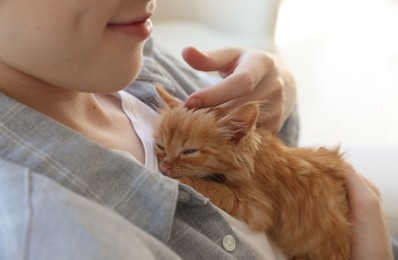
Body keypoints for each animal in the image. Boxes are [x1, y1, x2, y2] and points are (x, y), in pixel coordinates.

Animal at [152, 86, 352, 258]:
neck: (254, 159)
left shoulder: (259, 207)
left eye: (189, 151)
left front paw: (188, 181)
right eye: (161, 146)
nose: (165, 167)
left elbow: (220, 191)